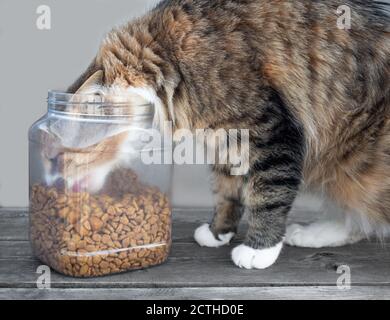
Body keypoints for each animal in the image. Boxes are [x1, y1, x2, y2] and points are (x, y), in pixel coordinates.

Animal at [45, 0, 386, 268]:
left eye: (63, 155)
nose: (55, 182)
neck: (169, 59)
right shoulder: (227, 141)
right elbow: (227, 191)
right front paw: (218, 231)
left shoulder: (270, 132)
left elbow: (267, 195)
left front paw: (259, 249)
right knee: (356, 219)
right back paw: (310, 234)